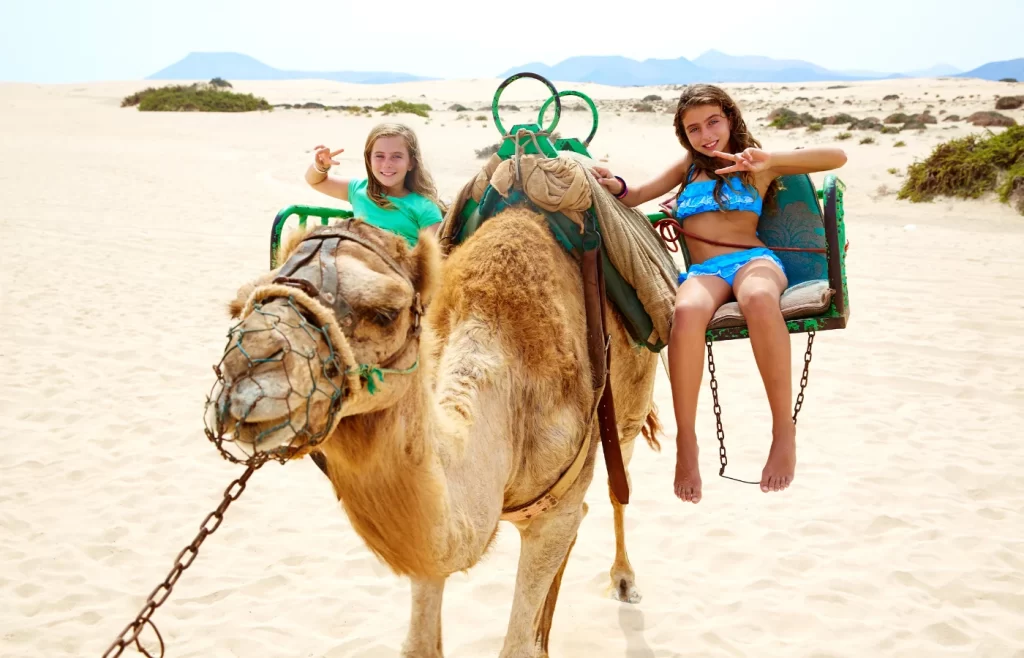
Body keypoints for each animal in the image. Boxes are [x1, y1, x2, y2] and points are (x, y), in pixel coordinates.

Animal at [211, 204, 661, 657]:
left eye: (385, 313)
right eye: (239, 306)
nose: (244, 371)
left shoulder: (554, 505)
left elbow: (516, 645)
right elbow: (421, 642)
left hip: (627, 415)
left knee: (616, 488)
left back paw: (623, 581)